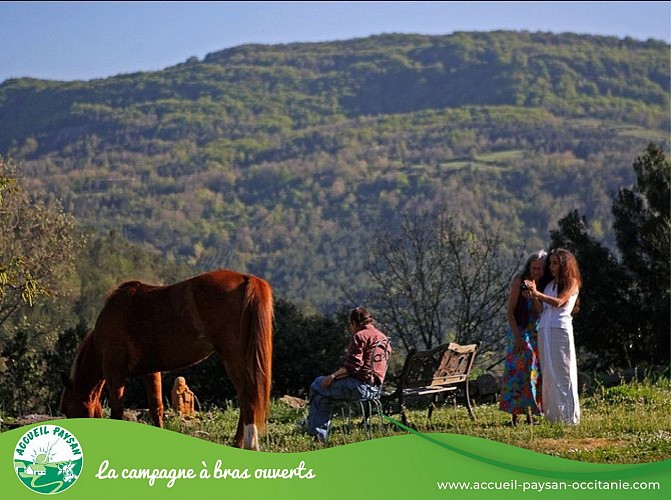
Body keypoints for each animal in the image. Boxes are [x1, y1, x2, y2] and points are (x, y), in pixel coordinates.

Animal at [60, 272, 274, 452]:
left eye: (66, 409)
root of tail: (248, 279)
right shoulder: (151, 371)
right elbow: (156, 408)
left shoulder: (115, 373)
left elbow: (117, 411)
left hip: (232, 357)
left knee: (247, 396)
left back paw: (248, 444)